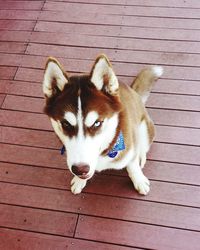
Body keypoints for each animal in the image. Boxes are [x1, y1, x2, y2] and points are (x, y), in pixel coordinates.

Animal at [42, 54, 162, 195]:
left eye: (97, 123)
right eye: (65, 123)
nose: (80, 169)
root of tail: (133, 91)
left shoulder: (130, 148)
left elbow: (132, 165)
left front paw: (139, 179)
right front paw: (79, 180)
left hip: (146, 128)